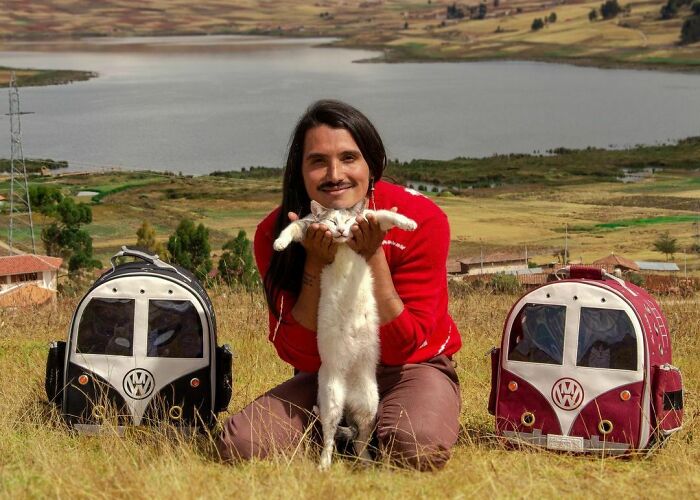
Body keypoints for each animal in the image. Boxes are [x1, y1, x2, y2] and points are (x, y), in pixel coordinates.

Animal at [272, 198, 416, 468]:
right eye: (331, 221)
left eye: (348, 221)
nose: (340, 230)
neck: (341, 245)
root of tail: (348, 394)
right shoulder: (308, 225)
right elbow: (291, 228)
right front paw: (279, 243)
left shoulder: (369, 217)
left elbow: (385, 215)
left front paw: (408, 223)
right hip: (331, 402)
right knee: (330, 439)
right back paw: (324, 465)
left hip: (369, 406)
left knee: (360, 441)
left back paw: (368, 464)